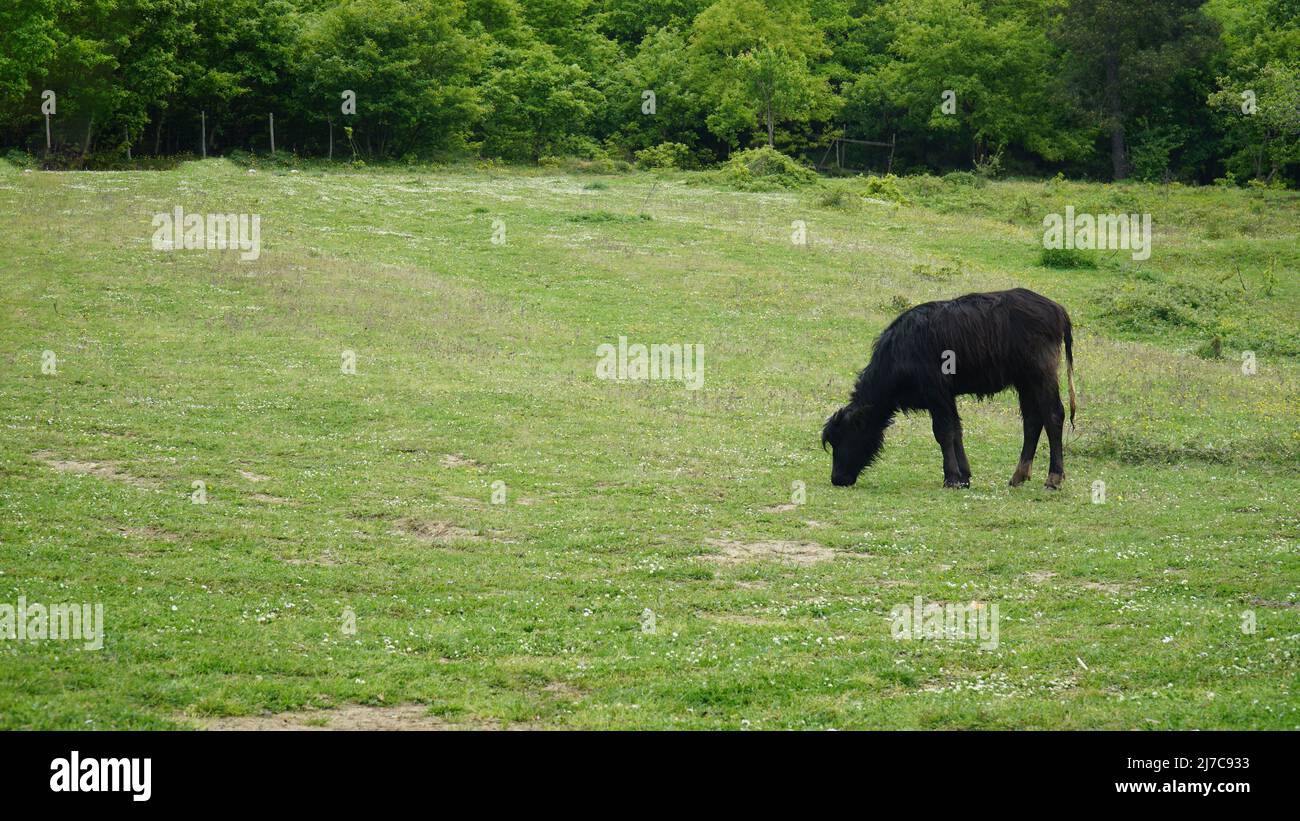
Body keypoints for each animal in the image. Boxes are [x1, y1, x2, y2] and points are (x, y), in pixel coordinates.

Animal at [821, 288, 1076, 488]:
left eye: (844, 437)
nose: (837, 478)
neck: (900, 350)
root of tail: (1057, 310)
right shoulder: (947, 396)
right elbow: (956, 430)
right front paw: (964, 476)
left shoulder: (936, 393)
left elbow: (943, 432)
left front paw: (951, 477)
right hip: (1025, 382)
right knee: (1032, 421)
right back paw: (1018, 476)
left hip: (1041, 376)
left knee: (1053, 415)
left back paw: (1053, 478)